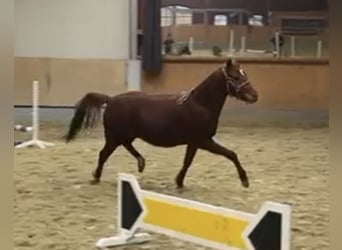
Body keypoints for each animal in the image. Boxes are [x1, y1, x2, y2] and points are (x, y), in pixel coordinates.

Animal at [64, 59, 258, 188]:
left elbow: (188, 162)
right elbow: (231, 154)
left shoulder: (194, 143)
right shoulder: (203, 141)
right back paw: (96, 177)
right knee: (103, 154)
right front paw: (245, 180)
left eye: (244, 74)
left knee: (125, 147)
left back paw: (141, 163)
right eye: (235, 77)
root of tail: (110, 100)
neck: (201, 104)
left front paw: (179, 182)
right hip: (114, 137)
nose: (255, 96)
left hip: (123, 135)